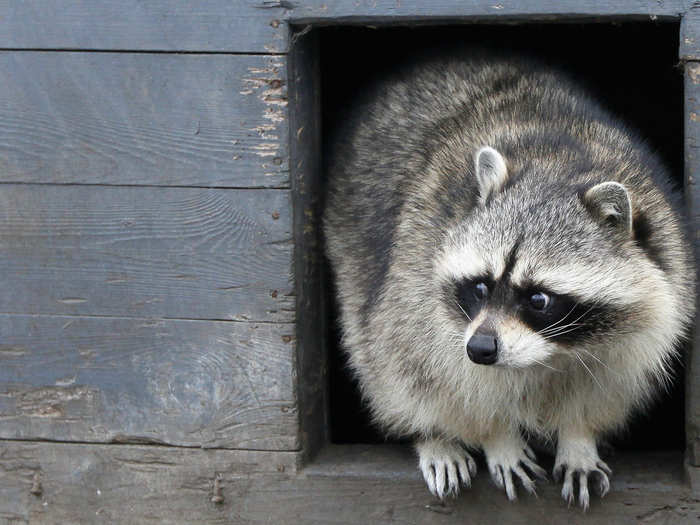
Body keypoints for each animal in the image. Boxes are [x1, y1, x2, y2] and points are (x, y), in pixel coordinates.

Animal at [322, 53, 696, 508]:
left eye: (538, 300)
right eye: (481, 286)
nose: (481, 348)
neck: (560, 164)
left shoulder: (657, 301)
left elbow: (608, 383)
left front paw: (579, 435)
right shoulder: (415, 277)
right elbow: (433, 373)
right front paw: (494, 436)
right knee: (389, 362)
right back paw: (433, 436)